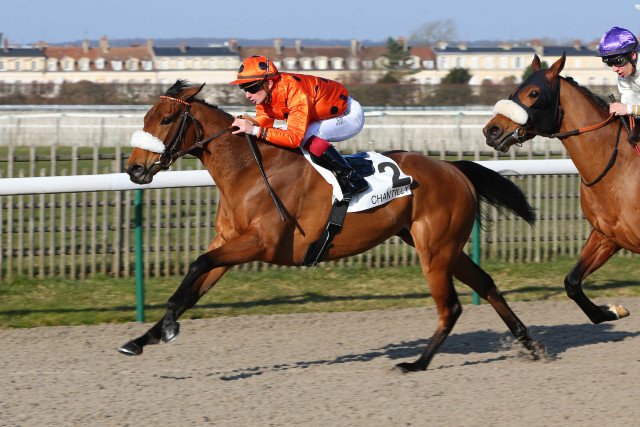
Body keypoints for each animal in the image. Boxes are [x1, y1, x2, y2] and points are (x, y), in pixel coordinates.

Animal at [120, 80, 543, 372]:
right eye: (145, 118)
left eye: (166, 119)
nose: (135, 169)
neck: (248, 171)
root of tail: (454, 169)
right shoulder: (229, 244)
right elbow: (193, 285)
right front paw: (144, 337)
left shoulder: (261, 243)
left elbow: (196, 265)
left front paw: (167, 328)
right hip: (443, 247)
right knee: (486, 285)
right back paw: (530, 343)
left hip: (435, 250)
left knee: (450, 306)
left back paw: (416, 363)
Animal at [483, 54, 634, 324]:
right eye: (515, 90)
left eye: (534, 93)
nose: (492, 130)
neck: (618, 168)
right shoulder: (607, 235)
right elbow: (572, 283)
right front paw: (611, 310)